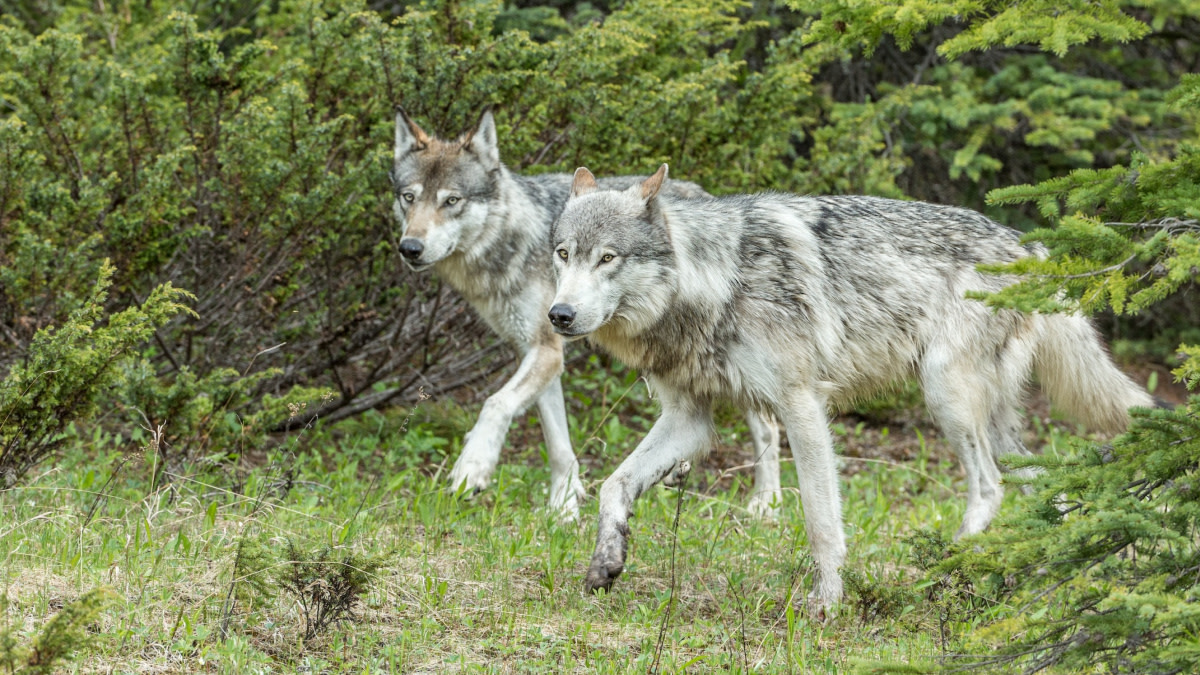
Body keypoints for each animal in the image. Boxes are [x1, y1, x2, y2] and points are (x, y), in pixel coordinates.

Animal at [393, 110, 787, 516]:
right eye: (408, 198)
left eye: (452, 200)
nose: (410, 248)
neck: (512, 240)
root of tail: (709, 195)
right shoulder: (540, 351)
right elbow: (557, 442)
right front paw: (564, 505)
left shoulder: (546, 352)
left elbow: (494, 403)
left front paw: (473, 467)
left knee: (768, 427)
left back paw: (766, 504)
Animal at [547, 164, 1152, 610]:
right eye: (563, 254)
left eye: (608, 258)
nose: (559, 315)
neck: (717, 280)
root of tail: (1032, 246)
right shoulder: (688, 419)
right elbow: (613, 485)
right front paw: (605, 564)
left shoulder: (801, 406)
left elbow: (820, 521)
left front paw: (827, 602)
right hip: (995, 425)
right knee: (1051, 492)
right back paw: (1048, 576)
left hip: (946, 400)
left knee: (990, 488)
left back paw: (947, 568)